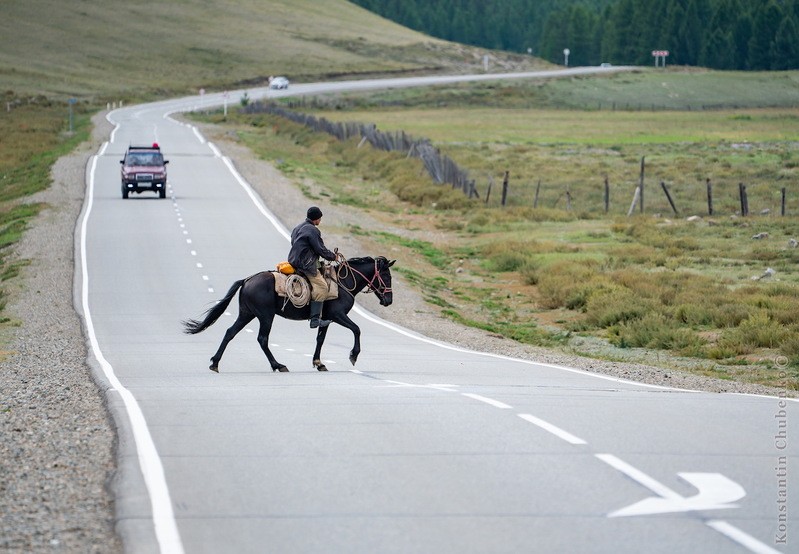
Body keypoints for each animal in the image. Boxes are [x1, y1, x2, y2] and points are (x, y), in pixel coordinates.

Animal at [181, 256, 394, 370]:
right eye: (386, 275)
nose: (389, 300)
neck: (343, 283)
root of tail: (247, 280)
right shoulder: (338, 315)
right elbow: (357, 329)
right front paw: (353, 355)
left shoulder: (325, 319)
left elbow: (320, 339)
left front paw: (318, 363)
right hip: (265, 316)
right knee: (262, 339)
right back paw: (278, 365)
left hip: (247, 314)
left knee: (230, 333)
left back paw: (215, 363)